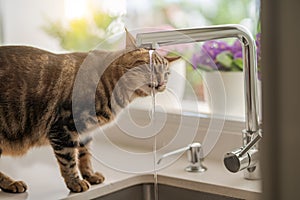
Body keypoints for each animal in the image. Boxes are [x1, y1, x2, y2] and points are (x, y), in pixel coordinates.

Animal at [0, 30, 179, 192]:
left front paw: (89, 174)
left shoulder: (83, 132)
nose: (161, 82)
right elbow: (69, 159)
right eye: (150, 66)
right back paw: (11, 183)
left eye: (167, 74)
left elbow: (84, 154)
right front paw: (75, 182)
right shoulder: (63, 127)